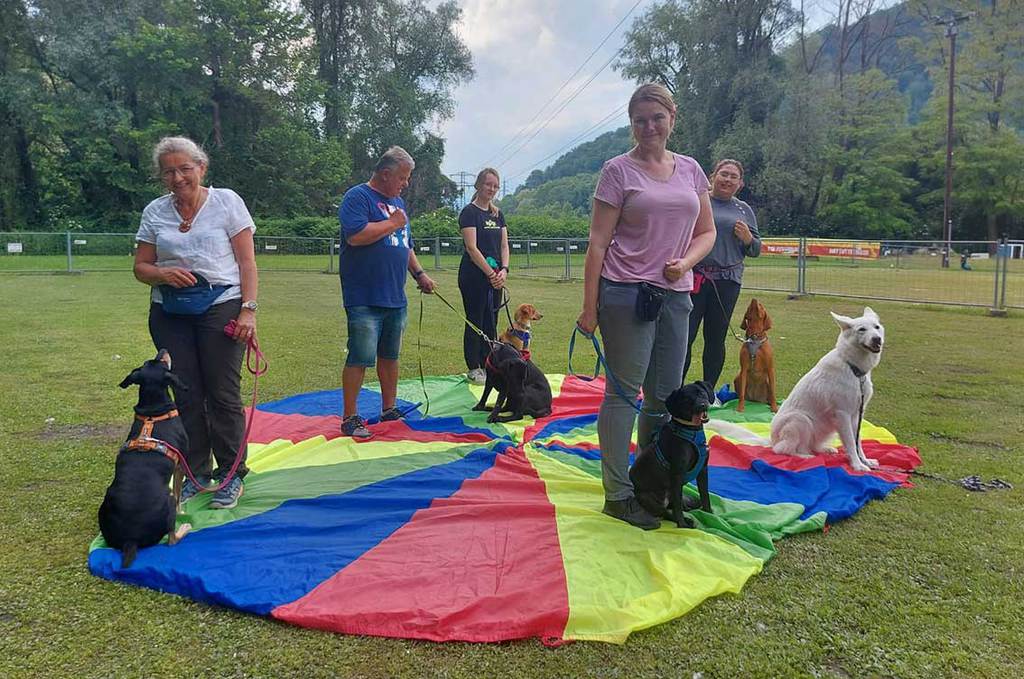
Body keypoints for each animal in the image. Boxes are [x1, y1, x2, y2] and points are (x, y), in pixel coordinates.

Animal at [98, 349, 192, 568]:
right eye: (162, 362)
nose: (163, 350)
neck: (153, 411)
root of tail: (130, 540)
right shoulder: (181, 464)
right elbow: (178, 493)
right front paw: (182, 511)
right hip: (167, 500)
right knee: (171, 540)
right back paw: (184, 528)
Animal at [630, 381, 715, 528]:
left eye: (702, 393)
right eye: (687, 400)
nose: (702, 405)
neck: (692, 430)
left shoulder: (703, 470)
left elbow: (705, 496)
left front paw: (709, 514)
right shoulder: (677, 474)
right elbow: (677, 507)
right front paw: (682, 524)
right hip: (647, 498)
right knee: (667, 512)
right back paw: (686, 521)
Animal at [770, 307, 885, 472]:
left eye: (877, 327)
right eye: (862, 329)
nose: (877, 339)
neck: (853, 368)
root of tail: (771, 441)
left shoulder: (857, 415)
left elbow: (858, 442)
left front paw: (865, 461)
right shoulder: (843, 414)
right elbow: (851, 443)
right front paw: (857, 465)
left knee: (811, 446)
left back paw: (825, 450)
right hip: (801, 419)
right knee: (784, 449)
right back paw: (805, 456)